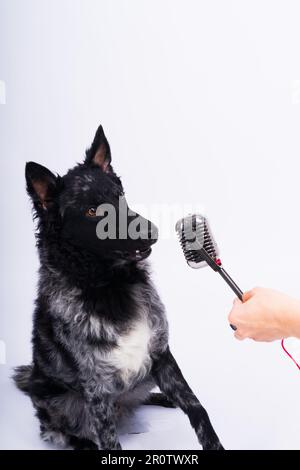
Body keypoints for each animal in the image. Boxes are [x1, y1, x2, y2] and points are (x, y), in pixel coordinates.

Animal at [13, 125, 223, 452]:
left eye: (119, 196)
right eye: (91, 211)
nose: (152, 232)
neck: (109, 284)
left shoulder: (161, 354)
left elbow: (196, 407)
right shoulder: (96, 387)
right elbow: (108, 438)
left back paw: (161, 397)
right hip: (58, 401)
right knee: (56, 429)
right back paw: (82, 443)